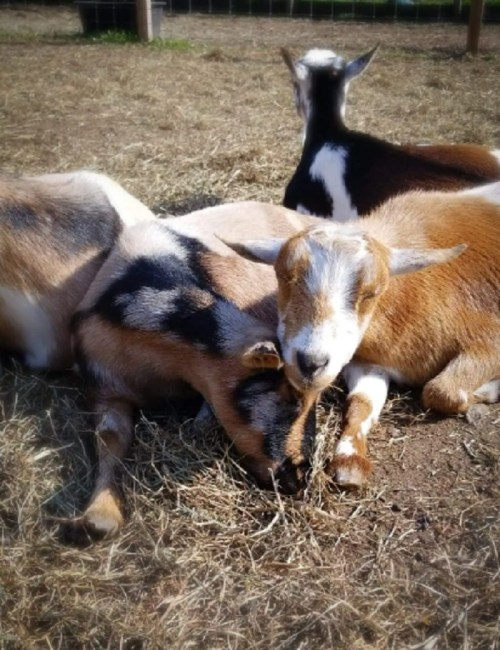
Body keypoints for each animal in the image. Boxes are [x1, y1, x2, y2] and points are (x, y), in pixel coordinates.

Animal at [227, 183, 500, 488]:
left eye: (372, 292)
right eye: (283, 277)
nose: (311, 363)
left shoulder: (490, 337)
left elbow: (441, 391)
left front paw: (488, 389)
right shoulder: (369, 363)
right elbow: (361, 402)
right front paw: (350, 462)